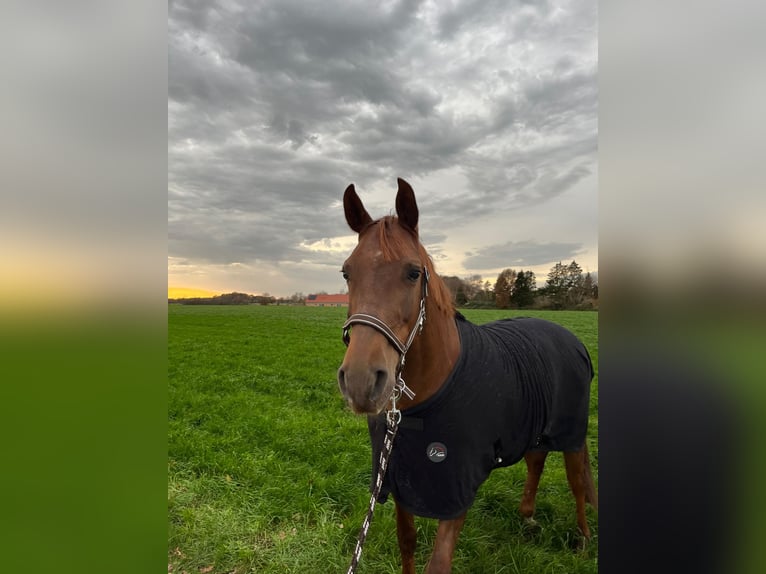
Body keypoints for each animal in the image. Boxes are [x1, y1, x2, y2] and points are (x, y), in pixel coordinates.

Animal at [338, 178, 600, 572]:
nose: (361, 381)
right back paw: (528, 516)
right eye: (347, 272)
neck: (426, 400)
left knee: (577, 479)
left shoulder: (458, 489)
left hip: (571, 432)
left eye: (413, 272)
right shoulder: (398, 477)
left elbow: (438, 563)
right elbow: (406, 542)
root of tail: (569, 336)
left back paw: (583, 538)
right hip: (535, 429)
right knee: (537, 460)